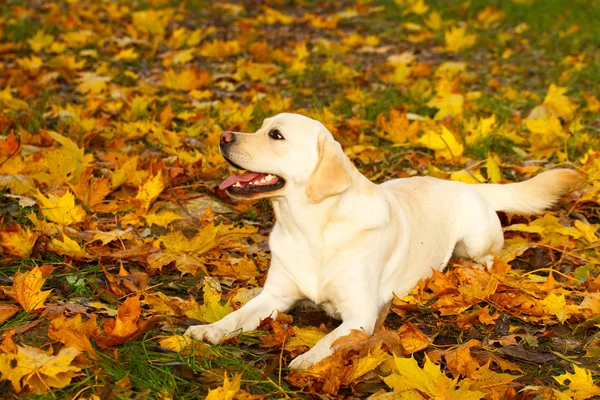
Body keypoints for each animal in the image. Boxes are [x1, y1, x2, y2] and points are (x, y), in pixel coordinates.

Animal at [184, 112, 580, 368]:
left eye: (276, 135)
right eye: (261, 127)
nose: (223, 136)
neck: (310, 227)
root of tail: (466, 184)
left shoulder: (360, 315)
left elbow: (330, 341)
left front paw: (307, 359)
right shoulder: (274, 297)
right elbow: (236, 316)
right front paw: (209, 329)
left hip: (475, 237)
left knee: (488, 260)